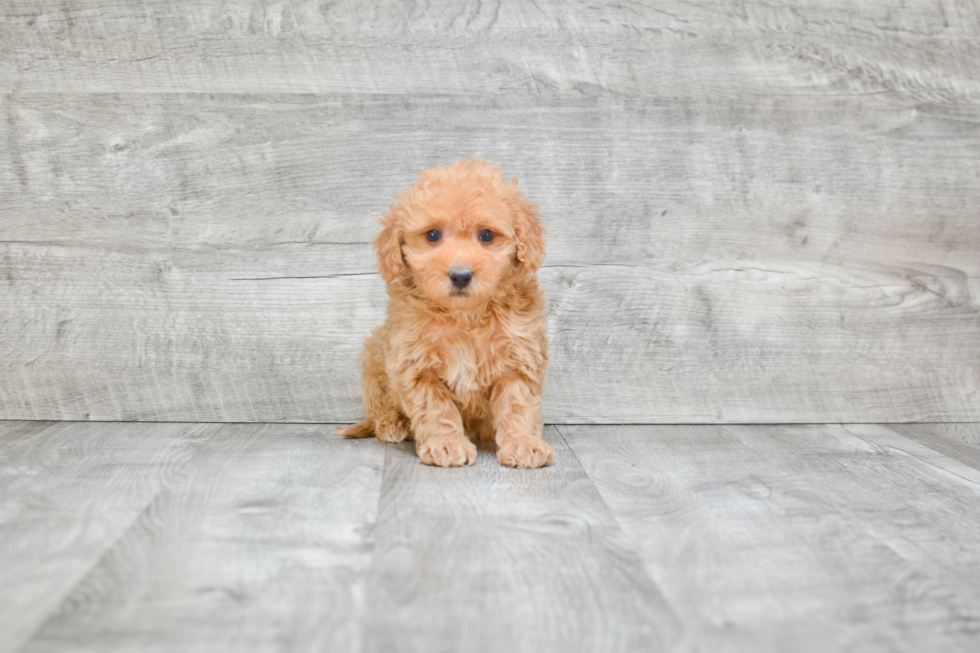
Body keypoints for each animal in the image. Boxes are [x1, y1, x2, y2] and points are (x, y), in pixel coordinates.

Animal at [336, 159, 552, 468]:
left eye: (487, 235)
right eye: (432, 235)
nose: (460, 275)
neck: (465, 316)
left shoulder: (518, 358)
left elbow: (517, 405)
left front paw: (523, 443)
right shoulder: (415, 364)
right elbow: (436, 409)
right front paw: (447, 444)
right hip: (373, 358)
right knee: (378, 409)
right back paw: (392, 424)